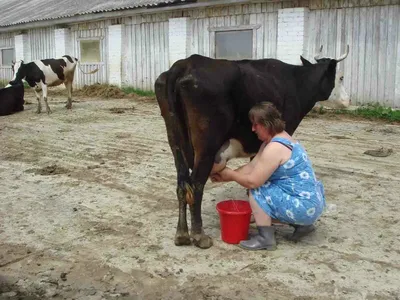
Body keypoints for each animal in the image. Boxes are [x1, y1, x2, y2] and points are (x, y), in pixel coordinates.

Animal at [155, 45, 348, 248]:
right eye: (340, 77)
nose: (347, 100)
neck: (297, 82)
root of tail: (185, 64)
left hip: (175, 142)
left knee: (182, 184)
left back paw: (182, 234)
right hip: (206, 146)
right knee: (196, 185)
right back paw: (200, 236)